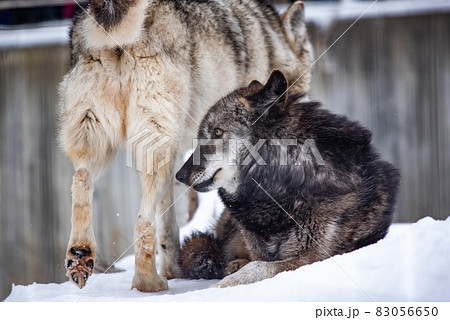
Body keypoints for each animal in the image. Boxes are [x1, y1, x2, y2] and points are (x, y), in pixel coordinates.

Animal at [176, 70, 400, 288]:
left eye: (217, 132)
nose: (179, 175)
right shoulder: (259, 248)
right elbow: (256, 262)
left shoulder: (313, 257)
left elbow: (258, 267)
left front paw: (220, 287)